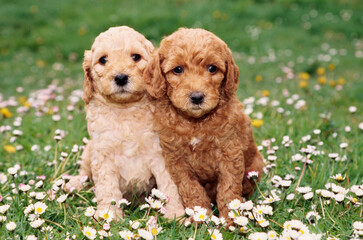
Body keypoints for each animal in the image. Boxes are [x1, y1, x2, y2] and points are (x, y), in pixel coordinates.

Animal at [144, 28, 264, 218]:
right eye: (178, 69)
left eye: (212, 68)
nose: (197, 97)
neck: (195, 123)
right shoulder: (176, 160)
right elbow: (191, 189)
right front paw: (200, 217)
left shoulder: (230, 153)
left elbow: (228, 190)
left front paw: (229, 219)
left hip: (256, 166)